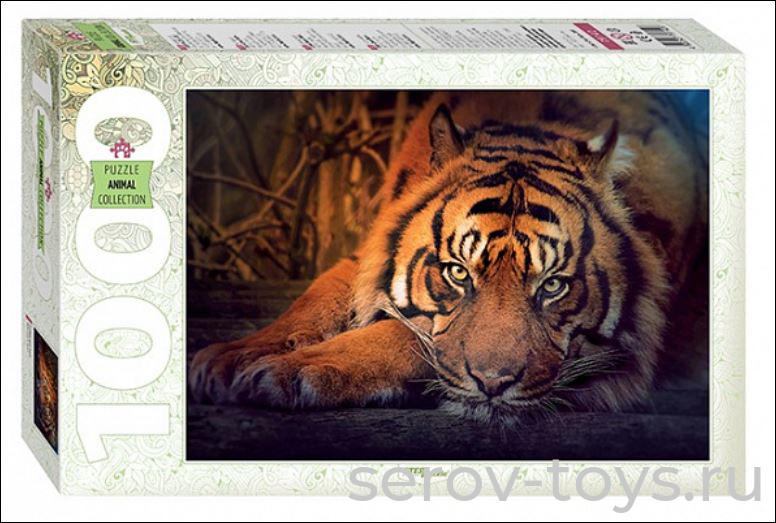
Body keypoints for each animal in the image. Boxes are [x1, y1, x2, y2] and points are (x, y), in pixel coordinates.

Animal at [189, 90, 708, 422]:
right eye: (457, 273)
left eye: (553, 285)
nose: (494, 384)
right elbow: (316, 299)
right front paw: (232, 358)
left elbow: (405, 334)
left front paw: (288, 369)